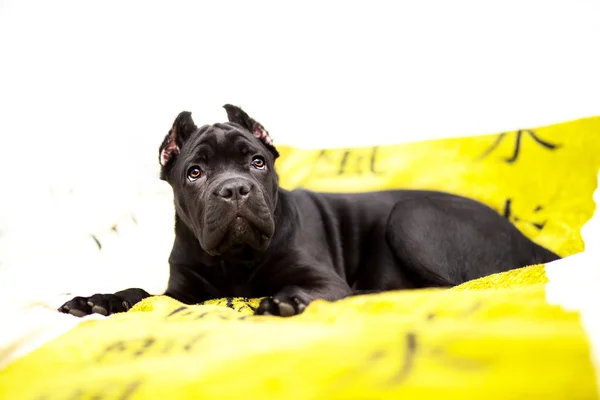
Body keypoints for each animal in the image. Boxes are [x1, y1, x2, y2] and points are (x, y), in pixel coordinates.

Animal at [58, 104, 560, 318]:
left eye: (257, 162)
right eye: (195, 172)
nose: (235, 189)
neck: (236, 261)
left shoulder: (321, 277)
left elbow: (307, 287)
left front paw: (288, 299)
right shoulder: (182, 290)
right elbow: (142, 292)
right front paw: (100, 299)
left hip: (411, 217)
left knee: (457, 286)